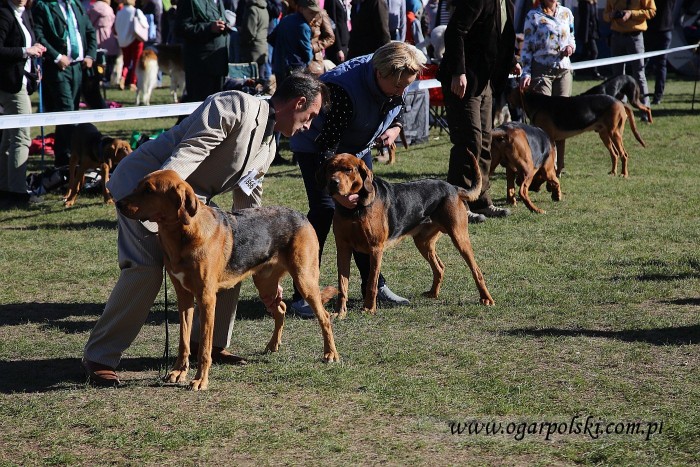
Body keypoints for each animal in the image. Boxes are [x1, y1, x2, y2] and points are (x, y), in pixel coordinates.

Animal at [116, 171, 340, 392]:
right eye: (138, 187)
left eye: (148, 190)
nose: (118, 203)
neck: (182, 235)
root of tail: (301, 215)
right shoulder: (184, 297)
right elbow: (184, 342)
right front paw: (179, 372)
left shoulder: (206, 298)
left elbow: (204, 347)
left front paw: (200, 380)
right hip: (265, 284)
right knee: (281, 309)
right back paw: (273, 345)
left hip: (304, 280)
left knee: (324, 316)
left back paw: (330, 354)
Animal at [318, 152, 492, 320]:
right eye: (330, 168)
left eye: (348, 170)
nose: (333, 182)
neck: (354, 209)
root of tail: (453, 187)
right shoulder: (343, 249)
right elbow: (342, 285)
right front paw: (340, 312)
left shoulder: (375, 249)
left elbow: (371, 283)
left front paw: (368, 308)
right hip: (423, 243)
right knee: (439, 267)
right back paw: (433, 293)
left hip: (459, 237)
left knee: (476, 270)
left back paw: (486, 299)